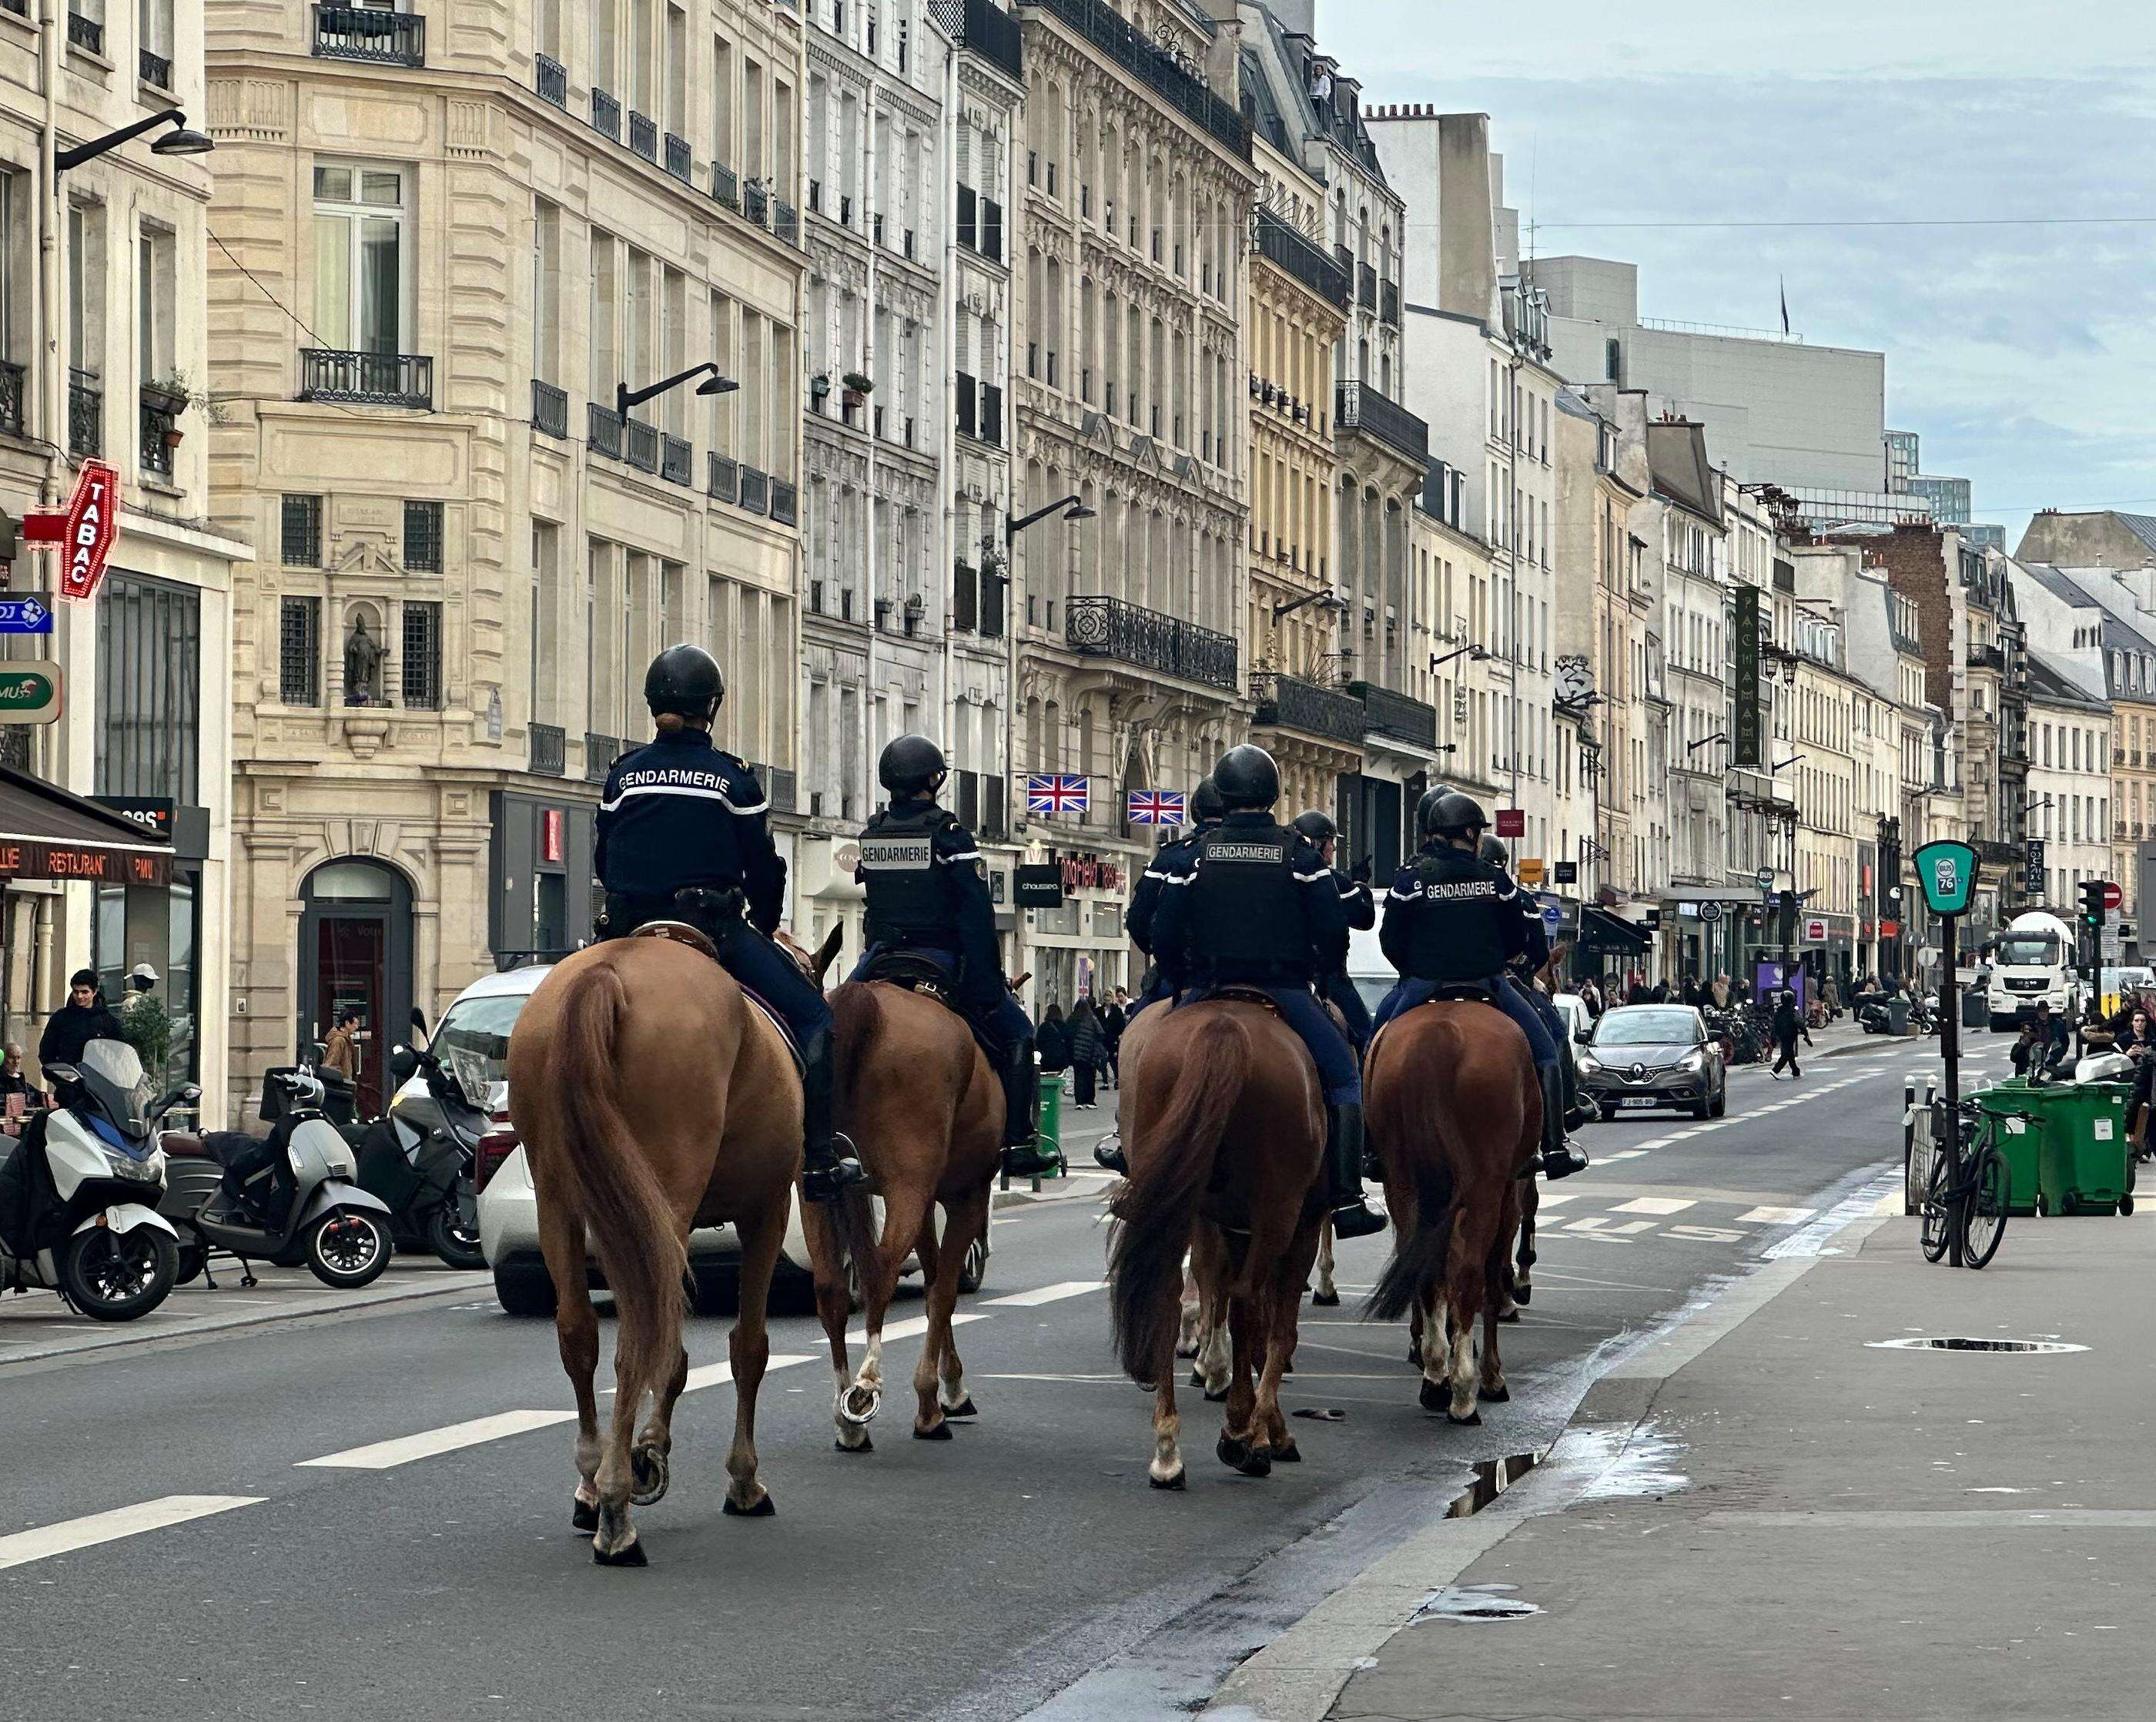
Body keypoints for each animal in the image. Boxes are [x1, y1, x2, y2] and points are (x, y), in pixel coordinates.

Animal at [508, 935, 806, 1569]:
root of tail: (606, 972)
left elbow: (672, 1350)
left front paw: (649, 1450)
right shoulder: (766, 1212)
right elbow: (748, 1347)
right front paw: (741, 1480)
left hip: (561, 1203)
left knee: (581, 1333)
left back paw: (592, 1485)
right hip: (662, 1195)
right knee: (635, 1342)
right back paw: (617, 1511)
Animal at [806, 961, 1004, 1448]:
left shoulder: (920, 1200)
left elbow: (933, 1278)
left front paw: (948, 1389)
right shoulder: (967, 1196)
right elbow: (943, 1291)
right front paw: (935, 1401)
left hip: (819, 1191)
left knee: (832, 1288)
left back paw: (846, 1420)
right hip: (907, 1187)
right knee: (881, 1272)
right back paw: (865, 1389)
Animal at [1112, 1004, 1327, 1491]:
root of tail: (1223, 1025)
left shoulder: (1220, 1223)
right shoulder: (1299, 1228)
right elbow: (1276, 1330)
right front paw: (1266, 1432)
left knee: (1171, 1297)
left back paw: (1168, 1454)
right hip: (1276, 1214)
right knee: (1249, 1306)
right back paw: (1243, 1435)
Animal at [1362, 995, 1535, 1431]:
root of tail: (1436, 1035)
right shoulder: (1509, 1190)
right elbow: (1494, 1276)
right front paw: (1491, 1375)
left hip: (1402, 1183)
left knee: (1426, 1270)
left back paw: (1435, 1378)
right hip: (1483, 1188)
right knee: (1471, 1274)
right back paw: (1463, 1394)